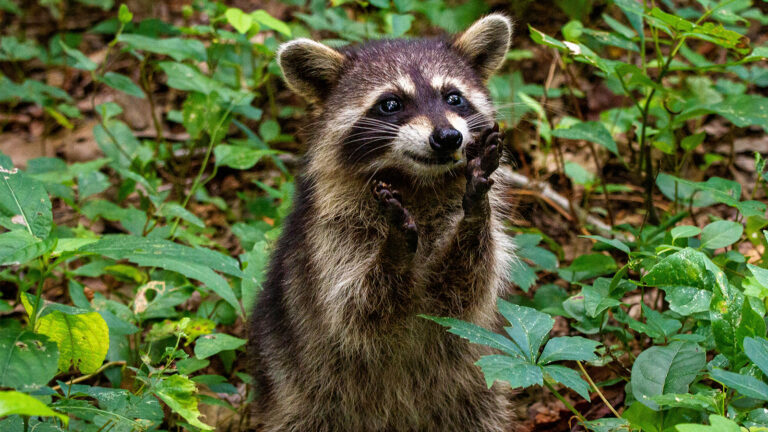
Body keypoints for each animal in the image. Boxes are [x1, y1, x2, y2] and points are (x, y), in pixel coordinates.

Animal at [249, 14, 517, 431]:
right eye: (390, 104)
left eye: (453, 97)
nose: (448, 137)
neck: (417, 182)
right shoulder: (330, 238)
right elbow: (356, 310)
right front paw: (393, 249)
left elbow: (465, 292)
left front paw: (475, 213)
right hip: (303, 394)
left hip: (472, 393)